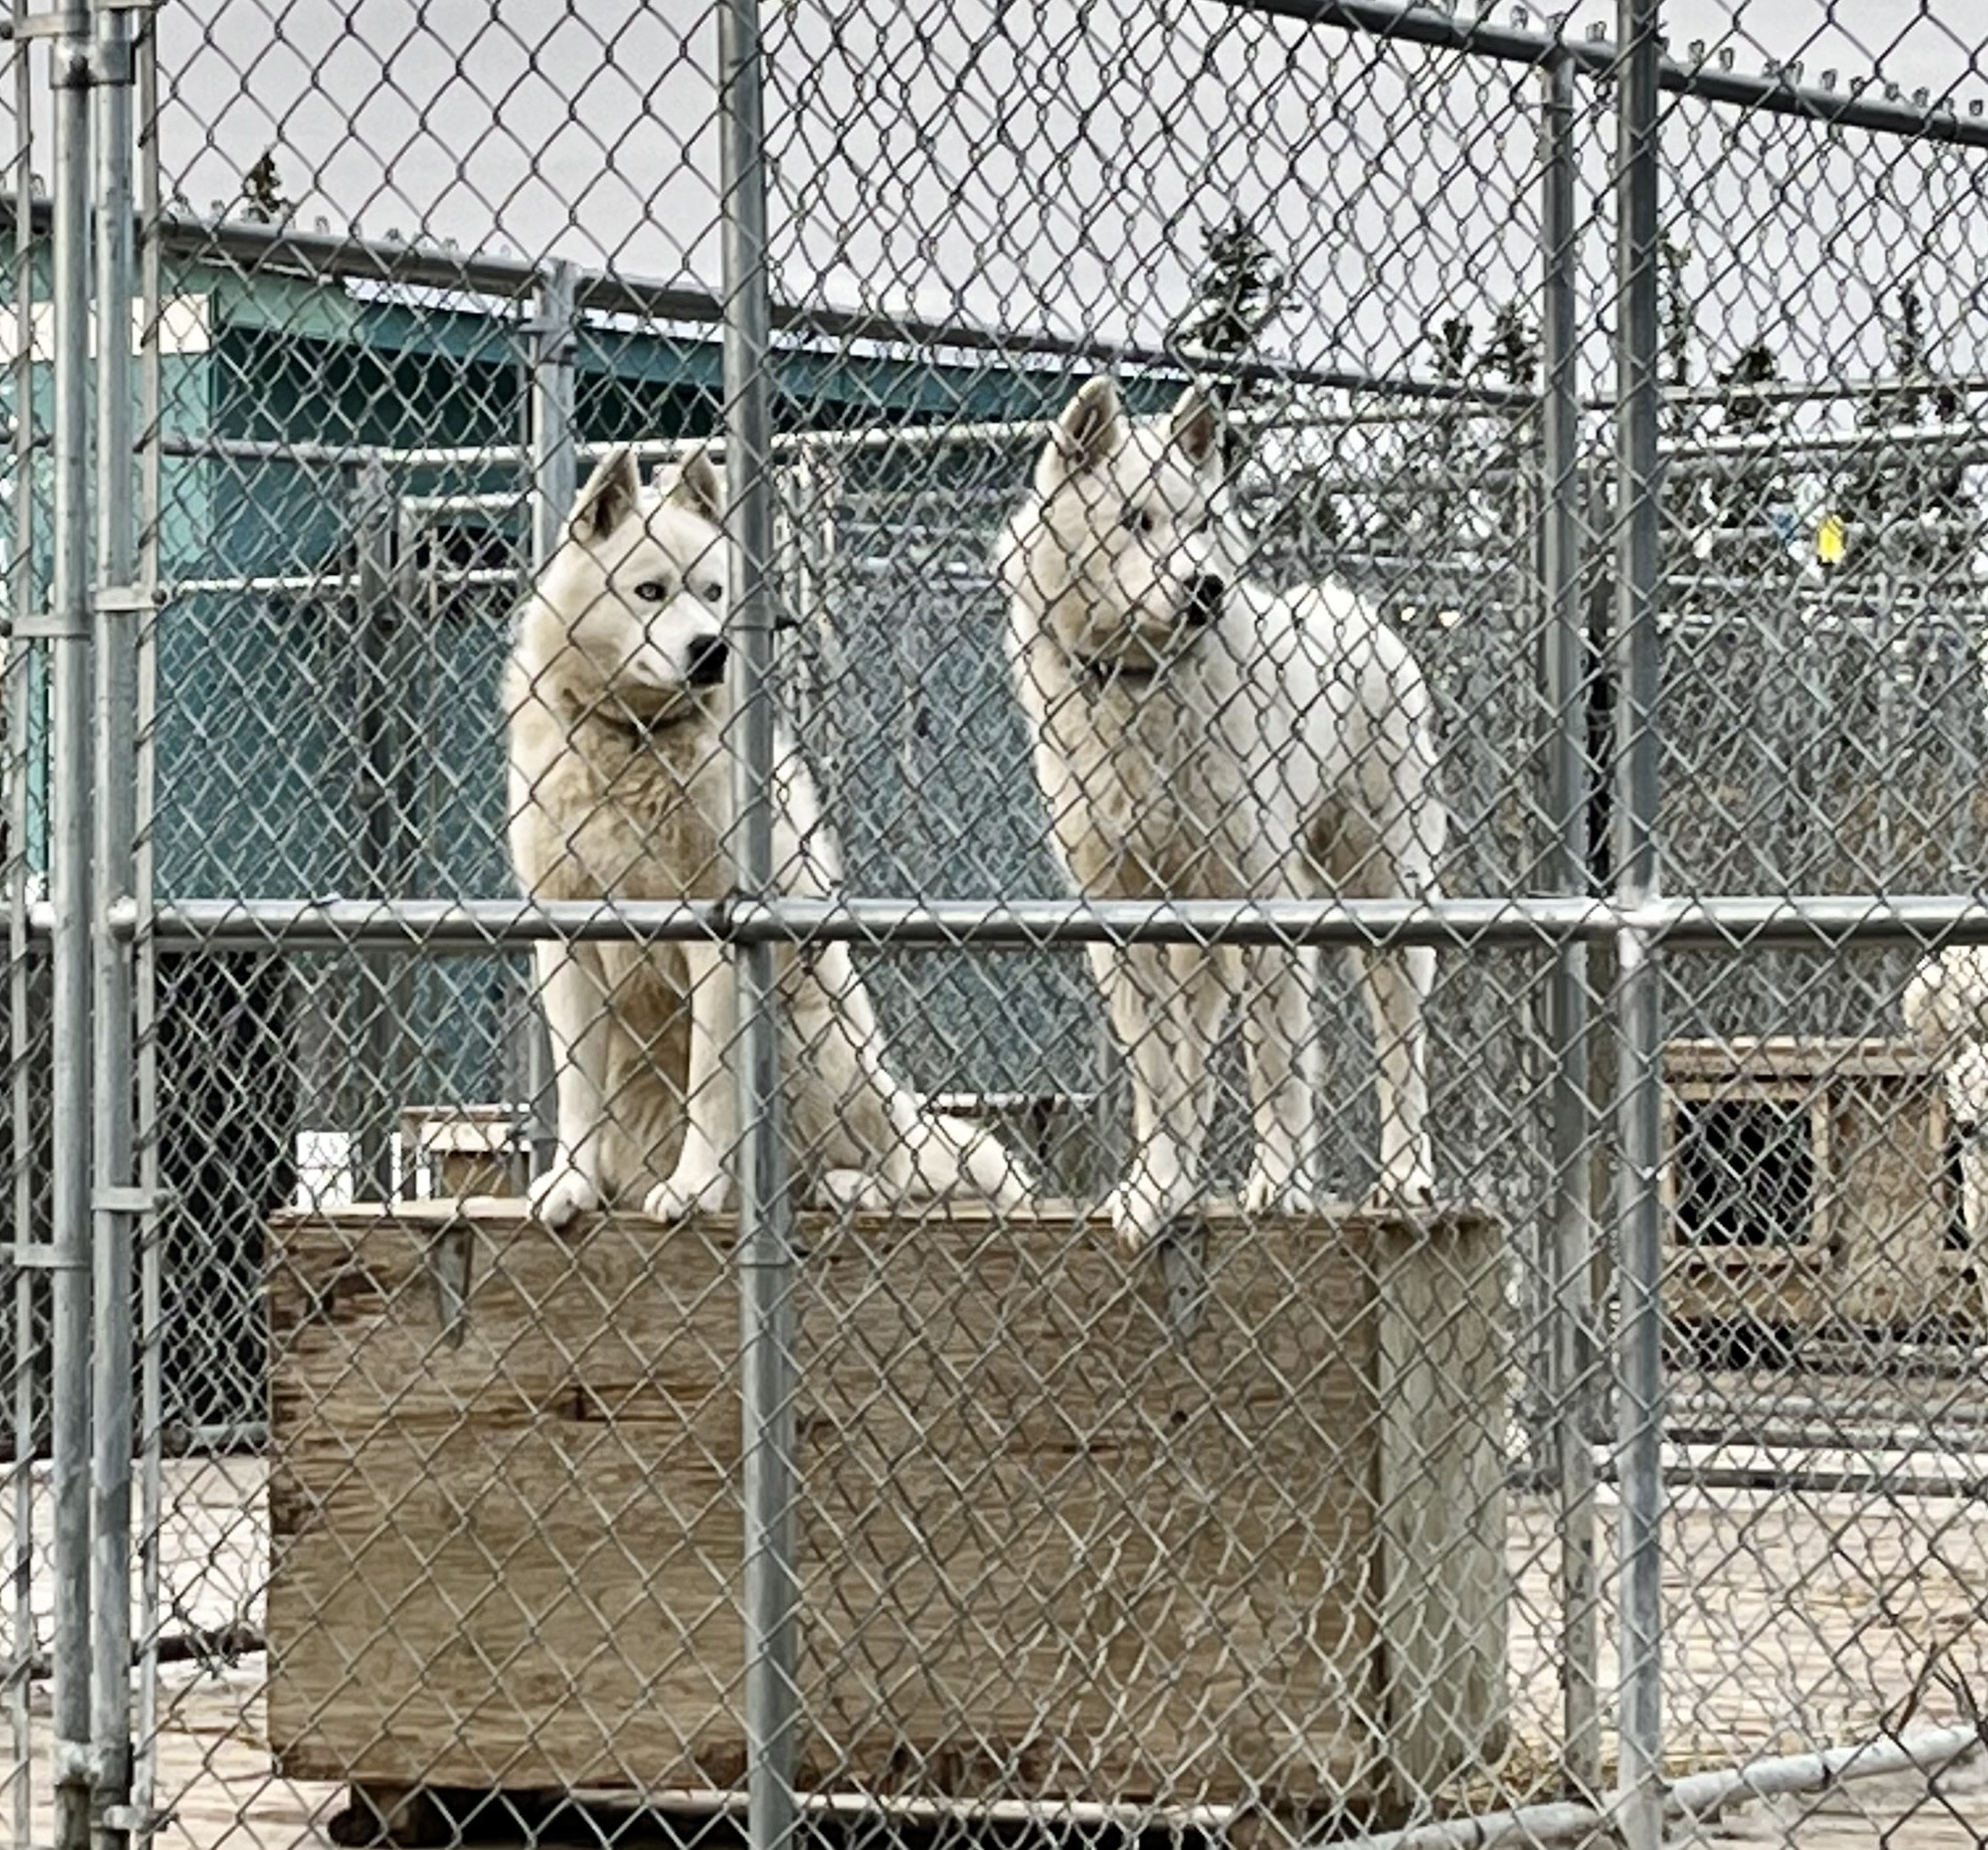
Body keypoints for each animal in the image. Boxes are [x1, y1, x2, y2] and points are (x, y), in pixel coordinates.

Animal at [505, 443, 1033, 1225]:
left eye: (714, 590)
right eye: (650, 591)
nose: (711, 649)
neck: (635, 738)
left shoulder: (717, 938)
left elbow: (711, 1089)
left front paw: (694, 1188)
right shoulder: (567, 940)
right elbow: (575, 1091)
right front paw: (570, 1182)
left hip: (812, 1036)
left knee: (896, 1169)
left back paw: (842, 1186)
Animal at [994, 374, 1447, 1249]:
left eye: (1200, 523)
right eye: (1136, 519)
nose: (1205, 588)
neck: (1139, 687)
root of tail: (1355, 606)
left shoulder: (1260, 900)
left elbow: (1275, 1065)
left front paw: (1282, 1186)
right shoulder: (1124, 918)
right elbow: (1159, 1077)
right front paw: (1155, 1190)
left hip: (1382, 897)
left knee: (1399, 1046)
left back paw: (1406, 1178)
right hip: (1203, 939)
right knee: (1197, 1065)